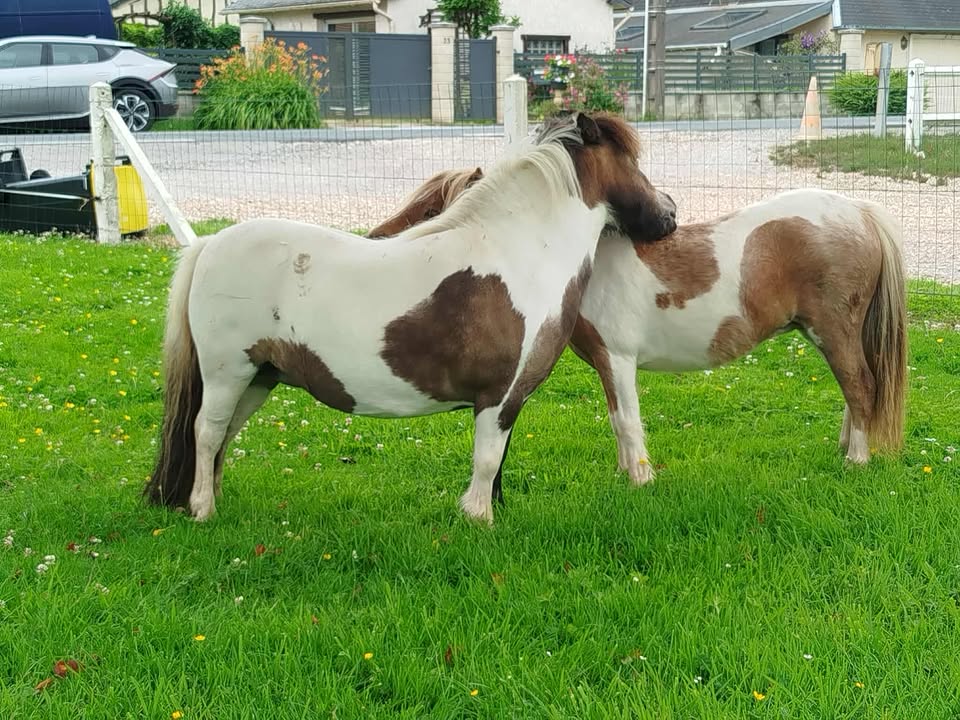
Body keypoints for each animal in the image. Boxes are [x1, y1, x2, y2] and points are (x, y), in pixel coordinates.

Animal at [143, 111, 679, 525]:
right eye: (633, 161)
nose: (670, 214)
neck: (520, 253)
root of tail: (209, 244)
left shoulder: (508, 400)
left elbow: (498, 462)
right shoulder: (499, 396)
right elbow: (488, 460)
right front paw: (478, 520)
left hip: (259, 377)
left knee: (222, 437)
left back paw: (210, 500)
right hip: (228, 373)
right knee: (207, 432)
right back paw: (204, 510)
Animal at [369, 165, 908, 503]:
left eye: (432, 213)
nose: (375, 239)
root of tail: (859, 211)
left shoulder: (619, 358)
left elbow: (628, 422)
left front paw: (641, 482)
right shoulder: (606, 365)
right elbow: (616, 422)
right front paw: (628, 475)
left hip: (834, 331)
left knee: (860, 387)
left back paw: (856, 461)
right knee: (853, 392)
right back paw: (845, 450)